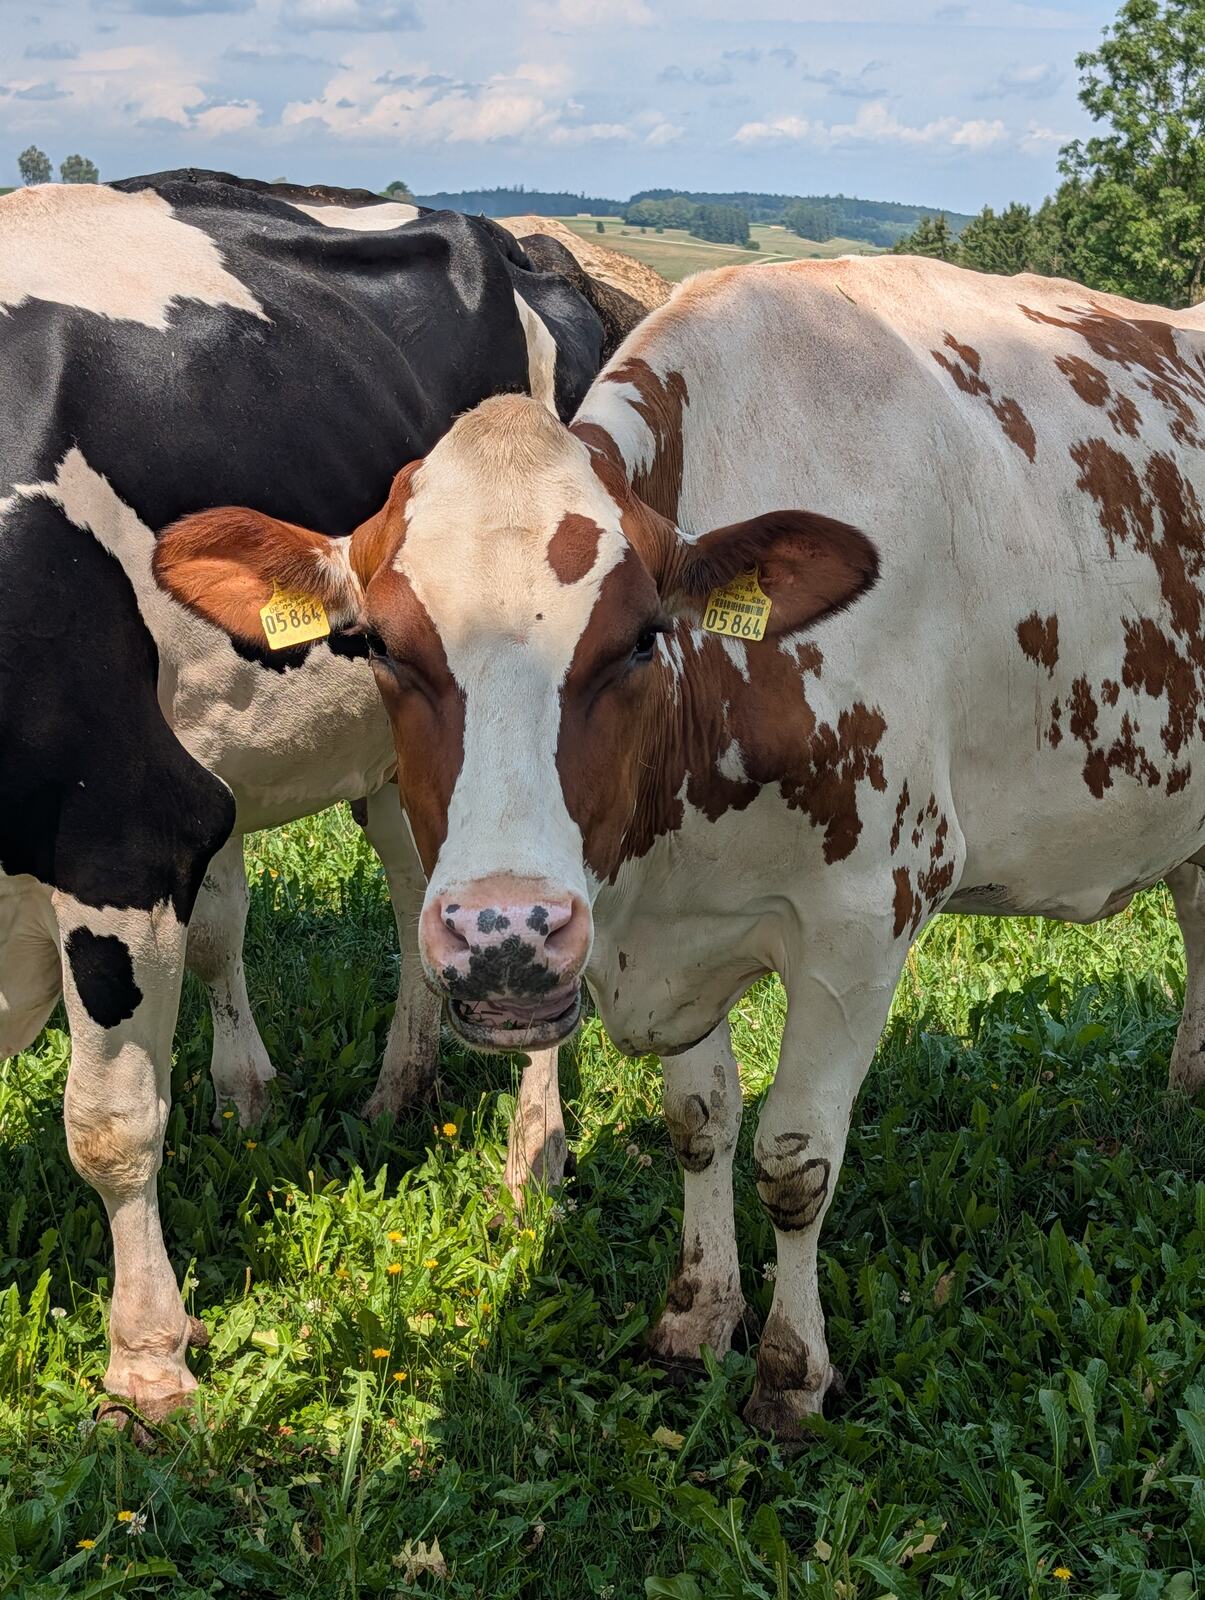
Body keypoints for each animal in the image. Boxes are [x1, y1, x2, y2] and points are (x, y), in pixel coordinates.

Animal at [0, 166, 643, 1423]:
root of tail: (524, 241)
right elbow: (218, 932)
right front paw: (246, 1098)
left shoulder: (121, 829)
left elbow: (109, 1123)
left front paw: (148, 1359)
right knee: (409, 884)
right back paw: (394, 1086)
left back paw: (532, 1155)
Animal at [153, 253, 1205, 1439]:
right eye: (374, 643)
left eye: (639, 638)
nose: (505, 935)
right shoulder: (670, 925)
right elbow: (699, 1121)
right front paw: (698, 1316)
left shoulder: (868, 914)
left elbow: (794, 1158)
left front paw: (791, 1370)